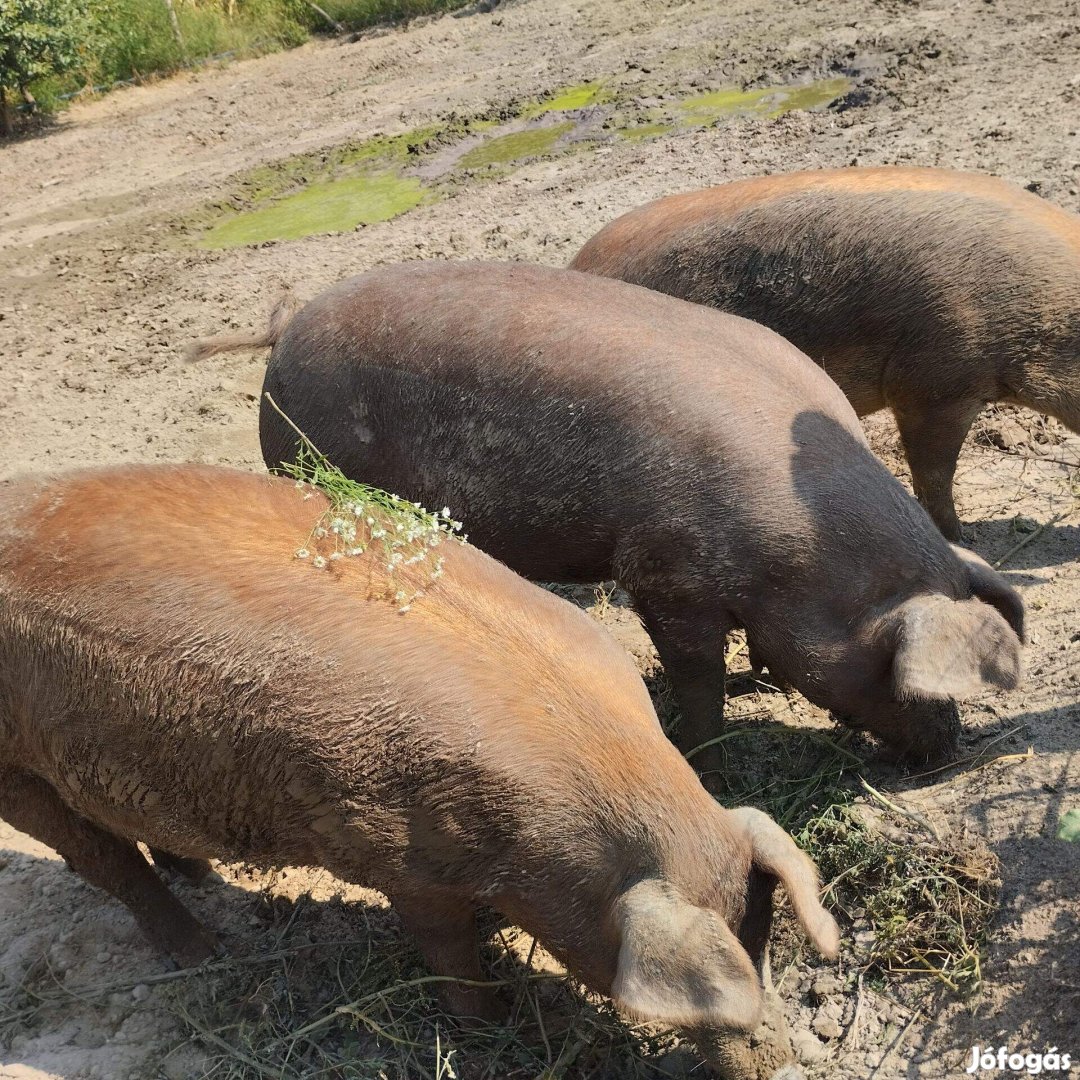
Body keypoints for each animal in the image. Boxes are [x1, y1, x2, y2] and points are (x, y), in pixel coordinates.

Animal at [0, 462, 833, 1080]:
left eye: (764, 941)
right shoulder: (402, 857)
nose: (775, 1061)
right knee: (101, 860)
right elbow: (448, 949)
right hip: (14, 771)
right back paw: (205, 953)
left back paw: (200, 874)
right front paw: (495, 1028)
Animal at [187, 259, 1028, 777]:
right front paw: (709, 760)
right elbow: (695, 676)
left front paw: (763, 682)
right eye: (896, 667)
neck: (805, 558)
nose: (949, 745)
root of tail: (287, 329)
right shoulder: (663, 573)